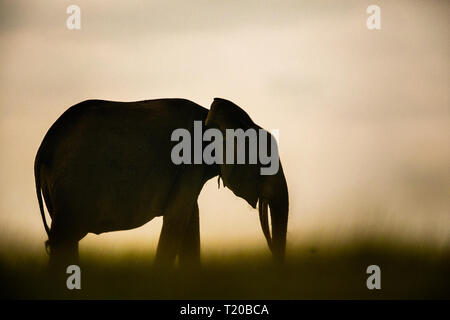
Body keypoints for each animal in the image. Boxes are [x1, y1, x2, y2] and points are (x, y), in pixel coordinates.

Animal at [34, 98, 288, 270]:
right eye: (265, 162)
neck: (210, 114)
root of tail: (43, 149)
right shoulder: (189, 161)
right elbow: (176, 219)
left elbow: (189, 219)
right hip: (74, 186)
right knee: (64, 238)